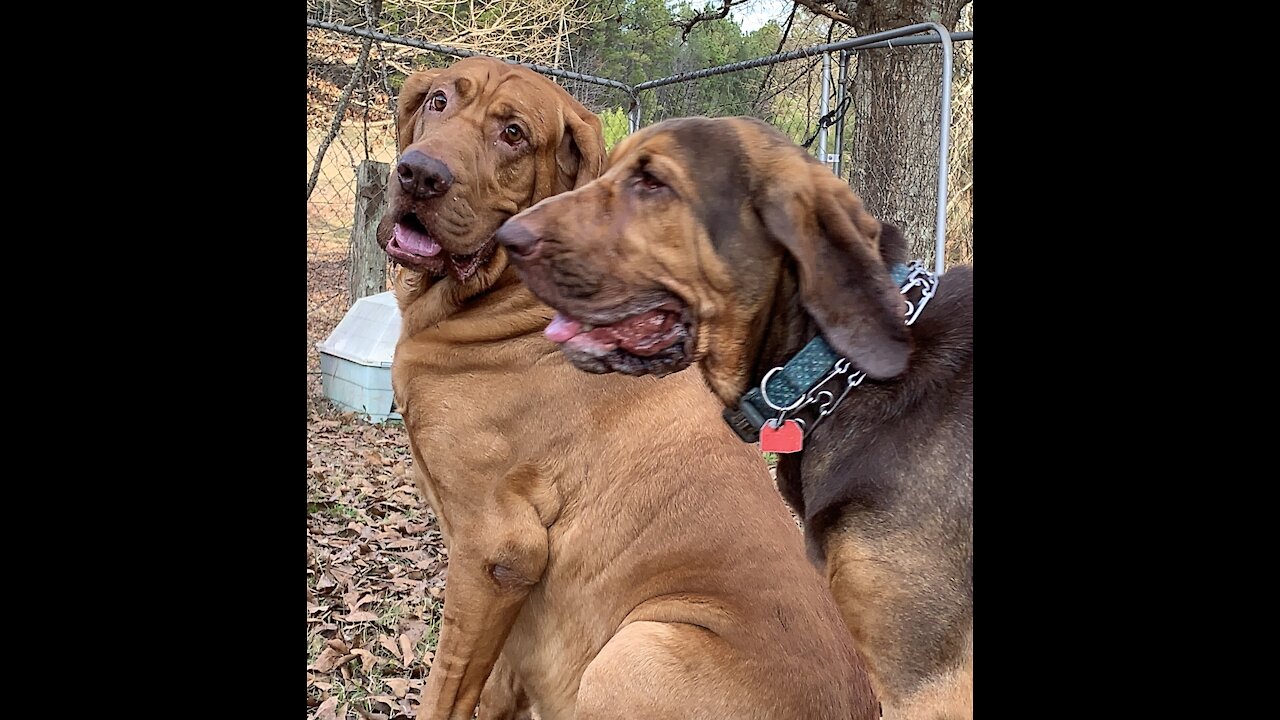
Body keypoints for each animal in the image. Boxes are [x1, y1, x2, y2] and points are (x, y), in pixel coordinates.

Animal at [378, 60, 880, 717]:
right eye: (439, 101)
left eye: (513, 134)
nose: (418, 173)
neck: (504, 302)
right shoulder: (516, 608)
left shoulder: (495, 552)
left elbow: (446, 690)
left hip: (635, 648)